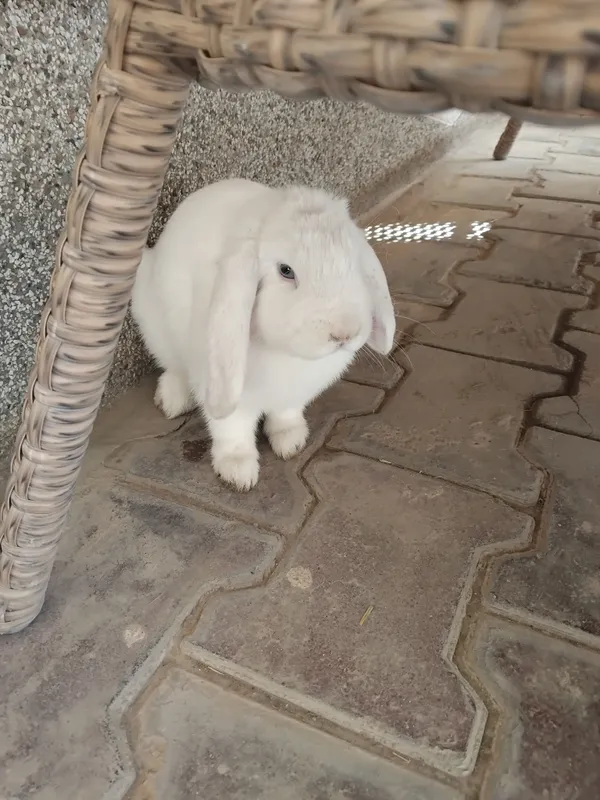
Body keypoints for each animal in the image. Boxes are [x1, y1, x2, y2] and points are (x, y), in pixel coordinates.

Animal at [131, 178, 395, 491]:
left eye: (353, 264)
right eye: (286, 270)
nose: (343, 333)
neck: (284, 353)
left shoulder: (291, 396)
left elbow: (285, 415)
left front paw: (291, 441)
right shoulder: (225, 390)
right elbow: (231, 430)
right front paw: (238, 473)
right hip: (153, 325)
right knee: (172, 367)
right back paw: (172, 401)